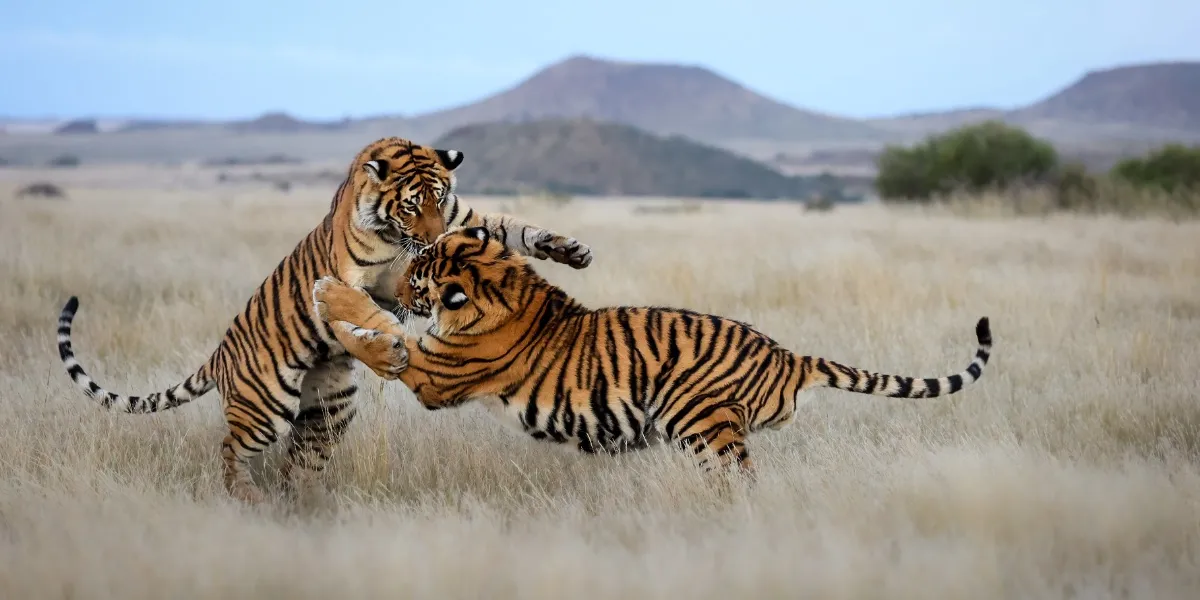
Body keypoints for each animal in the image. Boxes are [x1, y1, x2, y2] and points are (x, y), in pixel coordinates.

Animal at [55, 137, 593, 504]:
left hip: (329, 411)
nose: (434, 240)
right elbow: (353, 315)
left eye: (440, 200)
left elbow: (513, 227)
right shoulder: (351, 279)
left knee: (302, 462)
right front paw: (385, 351)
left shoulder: (465, 223)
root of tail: (219, 354)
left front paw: (568, 249)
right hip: (264, 407)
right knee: (230, 449)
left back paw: (308, 506)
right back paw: (248, 500)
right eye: (413, 204)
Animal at [310, 225, 993, 477]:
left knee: (739, 484)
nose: (399, 285)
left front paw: (329, 297)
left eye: (417, 276)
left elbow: (378, 339)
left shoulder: (436, 372)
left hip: (705, 426)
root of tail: (786, 355)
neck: (501, 287)